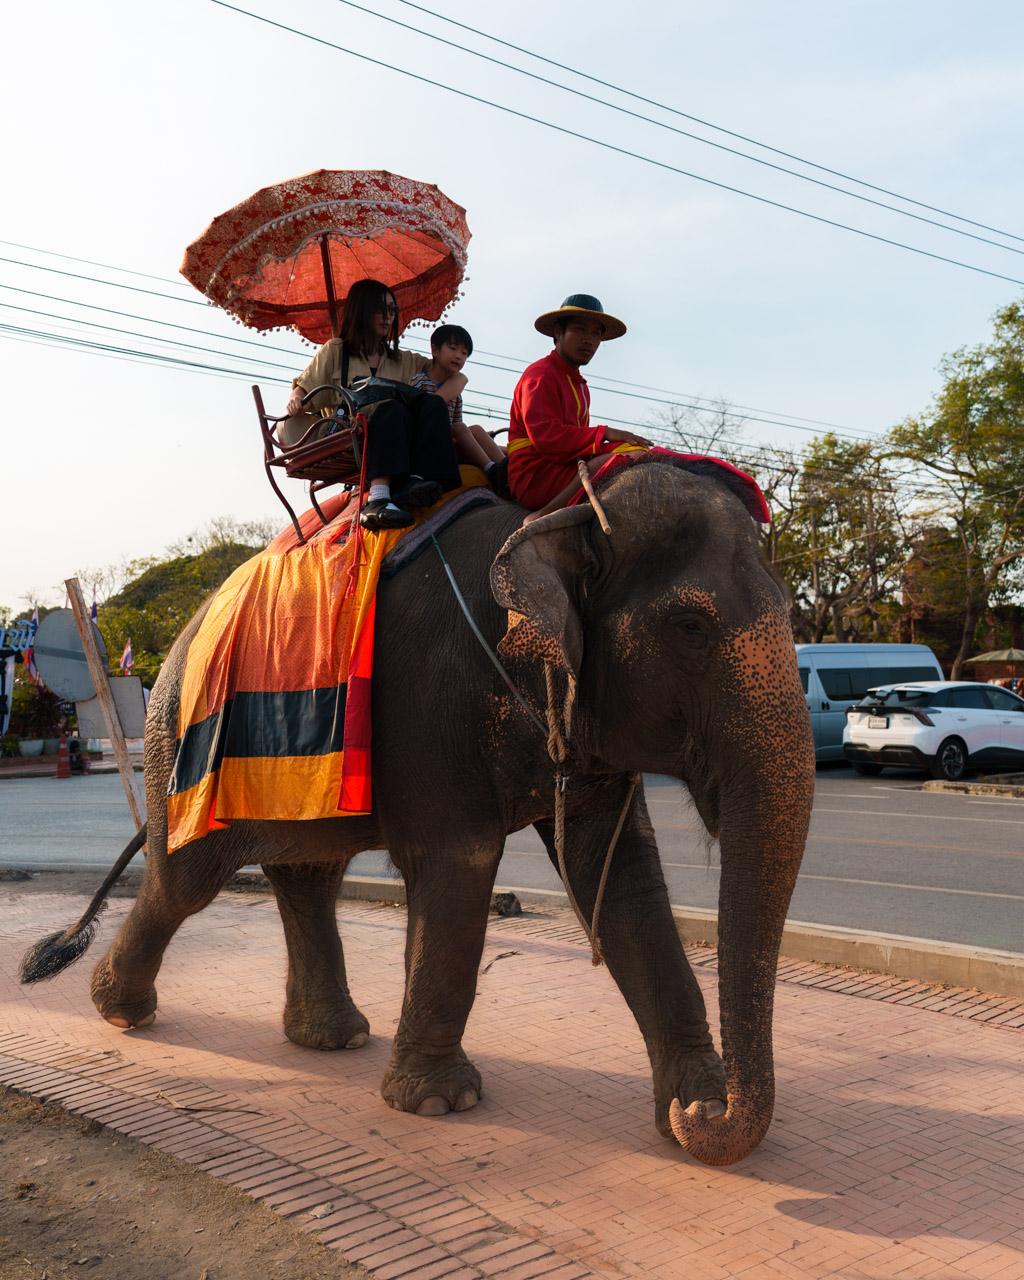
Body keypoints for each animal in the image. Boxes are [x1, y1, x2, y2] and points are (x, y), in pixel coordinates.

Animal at [22, 458, 815, 1167]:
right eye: (689, 625)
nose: (708, 1114)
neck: (554, 516)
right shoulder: (434, 698)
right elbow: (459, 867)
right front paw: (439, 1103)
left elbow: (620, 876)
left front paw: (688, 1110)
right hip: (181, 747)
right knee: (183, 880)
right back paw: (123, 1012)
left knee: (309, 872)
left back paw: (332, 1037)